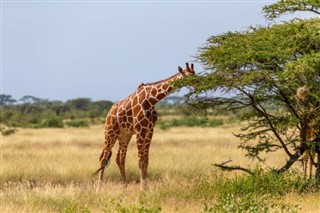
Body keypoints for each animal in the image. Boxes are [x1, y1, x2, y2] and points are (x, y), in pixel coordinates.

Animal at [94, 62, 195, 190]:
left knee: (120, 159)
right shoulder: (140, 130)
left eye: (195, 74)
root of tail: (109, 113)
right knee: (103, 158)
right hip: (110, 132)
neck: (151, 100)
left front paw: (147, 188)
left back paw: (125, 187)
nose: (199, 83)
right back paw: (98, 189)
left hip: (124, 135)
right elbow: (140, 160)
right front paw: (143, 189)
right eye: (189, 77)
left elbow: (146, 160)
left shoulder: (149, 130)